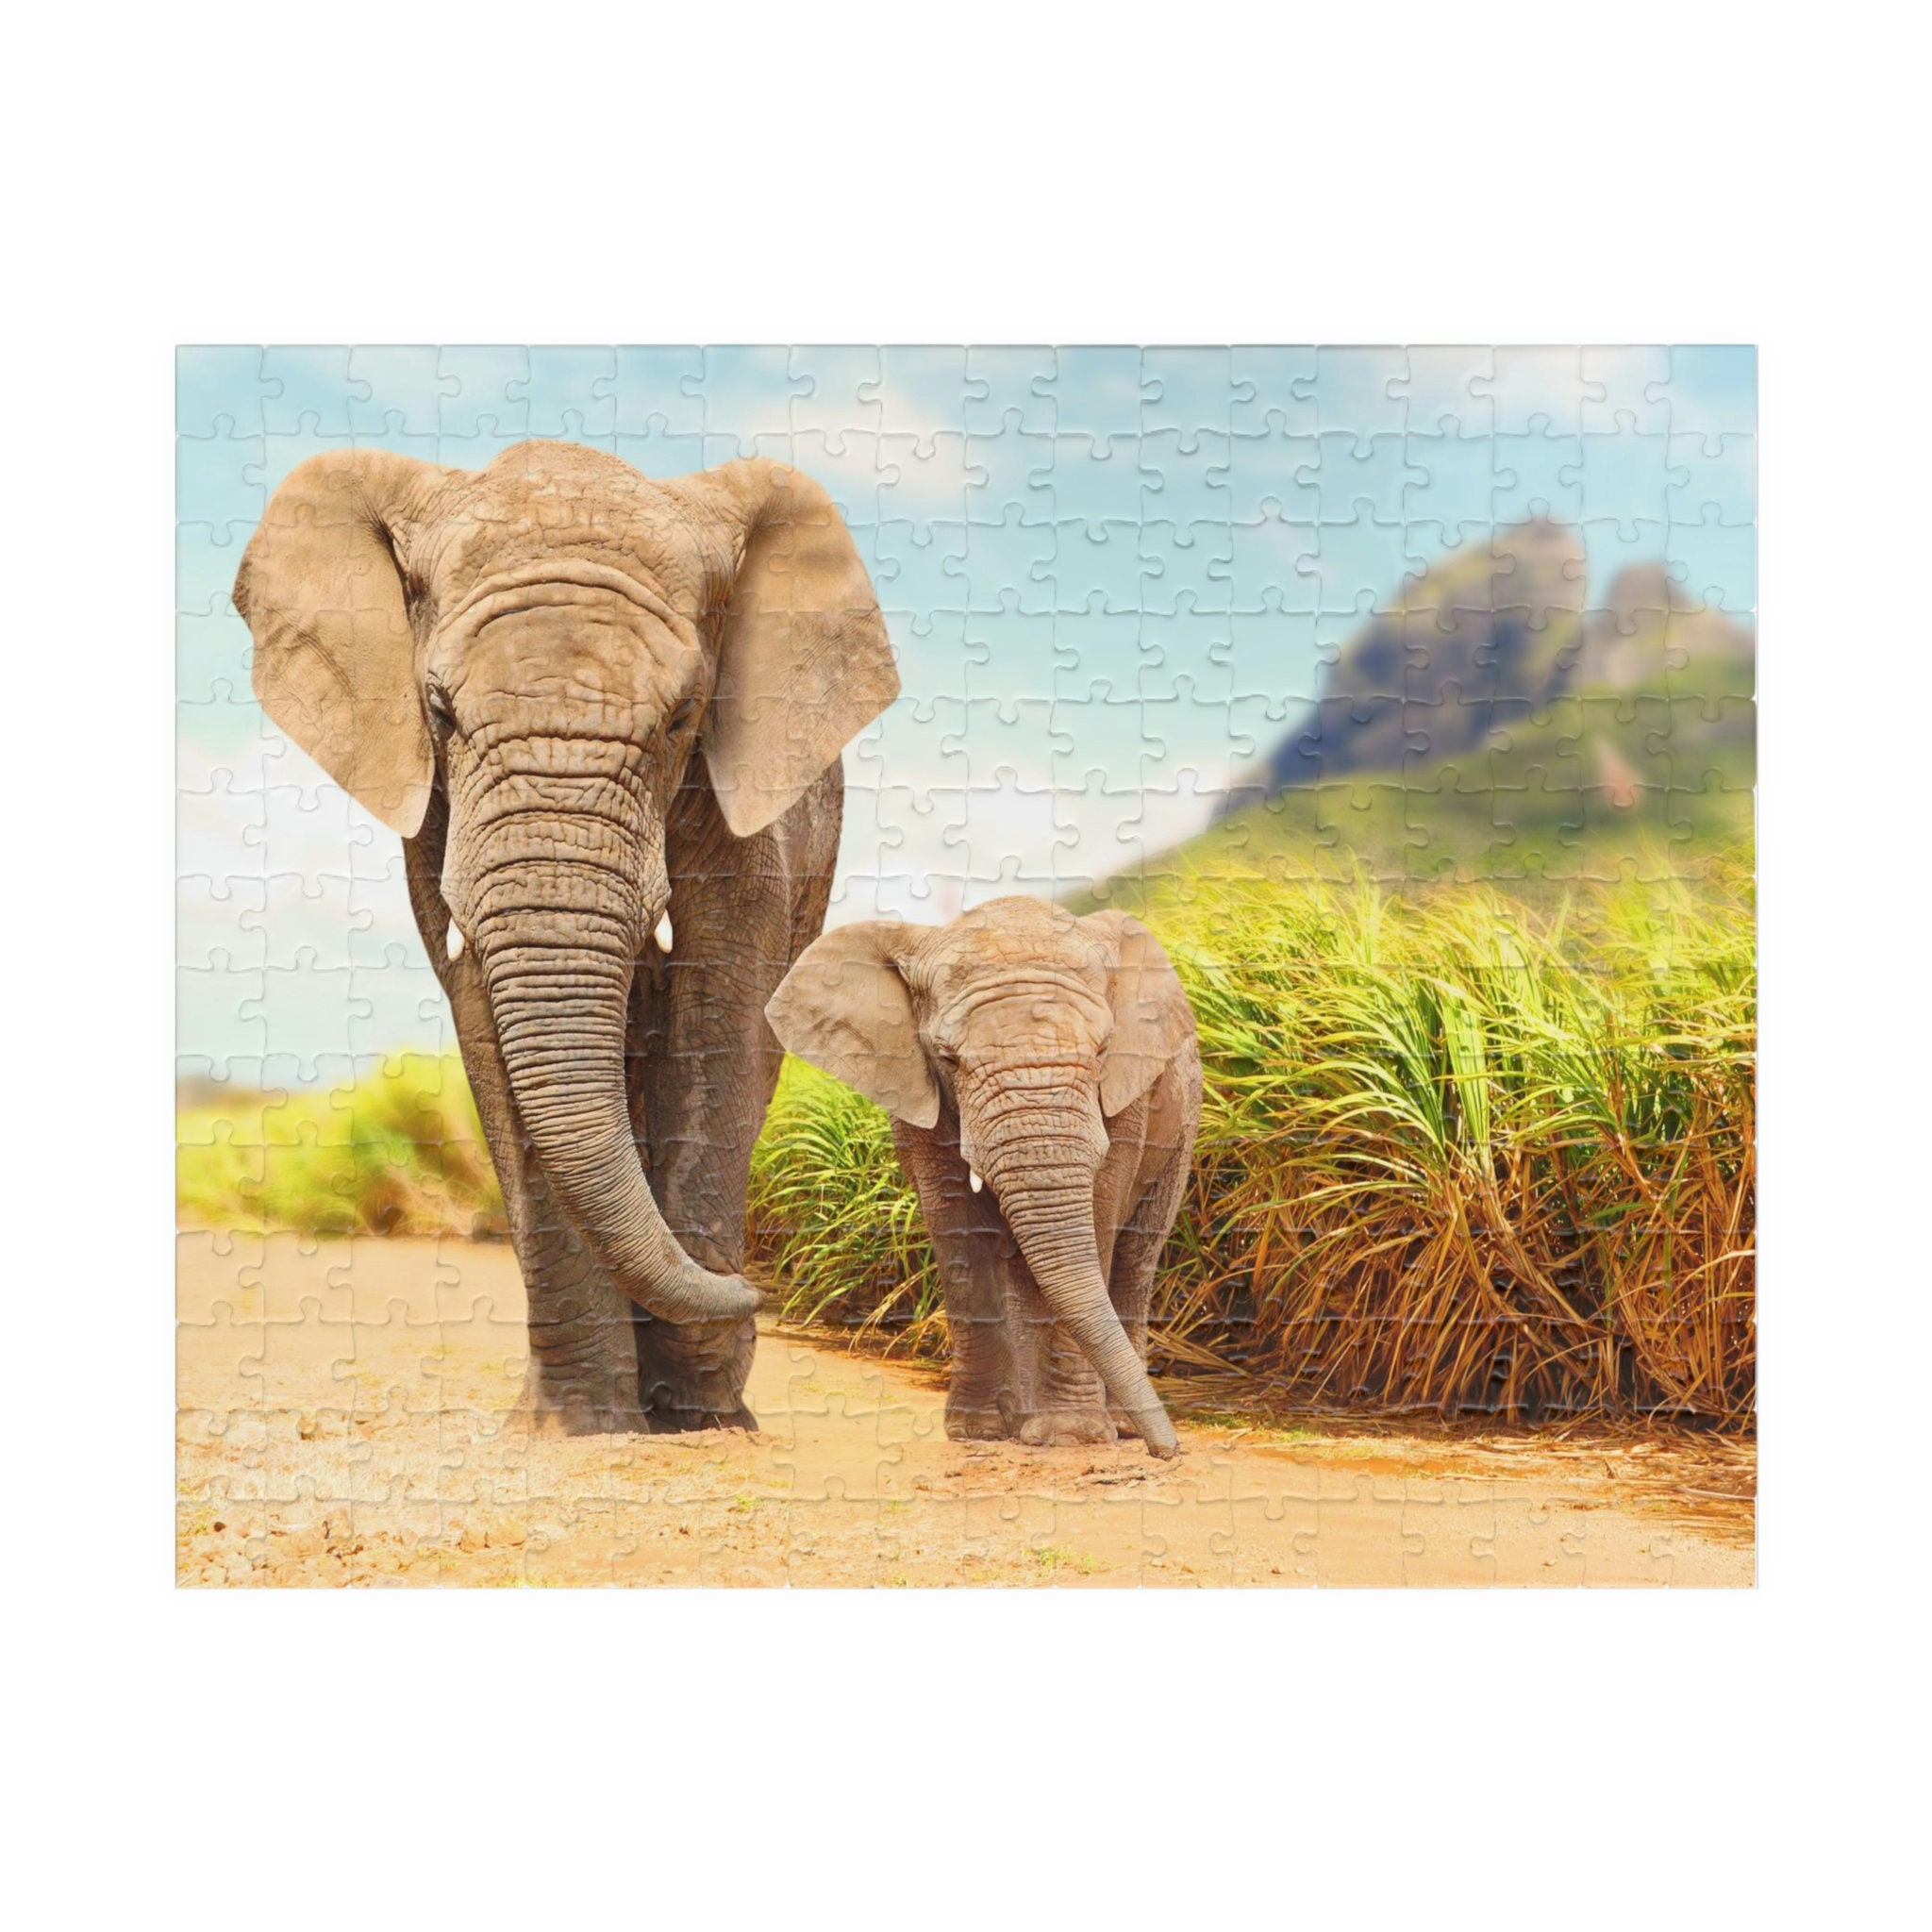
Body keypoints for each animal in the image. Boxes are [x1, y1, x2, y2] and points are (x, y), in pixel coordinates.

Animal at [233, 440, 898, 1433]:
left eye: (683, 716)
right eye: (439, 711)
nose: (758, 1291)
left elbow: (721, 1011)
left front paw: (700, 1410)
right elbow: (487, 1024)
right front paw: (577, 1426)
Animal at [765, 897, 1201, 1457]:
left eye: (1103, 1050)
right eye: (949, 1058)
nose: (1168, 1451)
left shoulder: (1128, 1101)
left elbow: (1099, 1221)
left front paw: (1071, 1437)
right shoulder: (916, 1094)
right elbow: (959, 1234)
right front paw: (980, 1432)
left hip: (1182, 1127)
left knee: (1135, 1255)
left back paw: (1115, 1425)